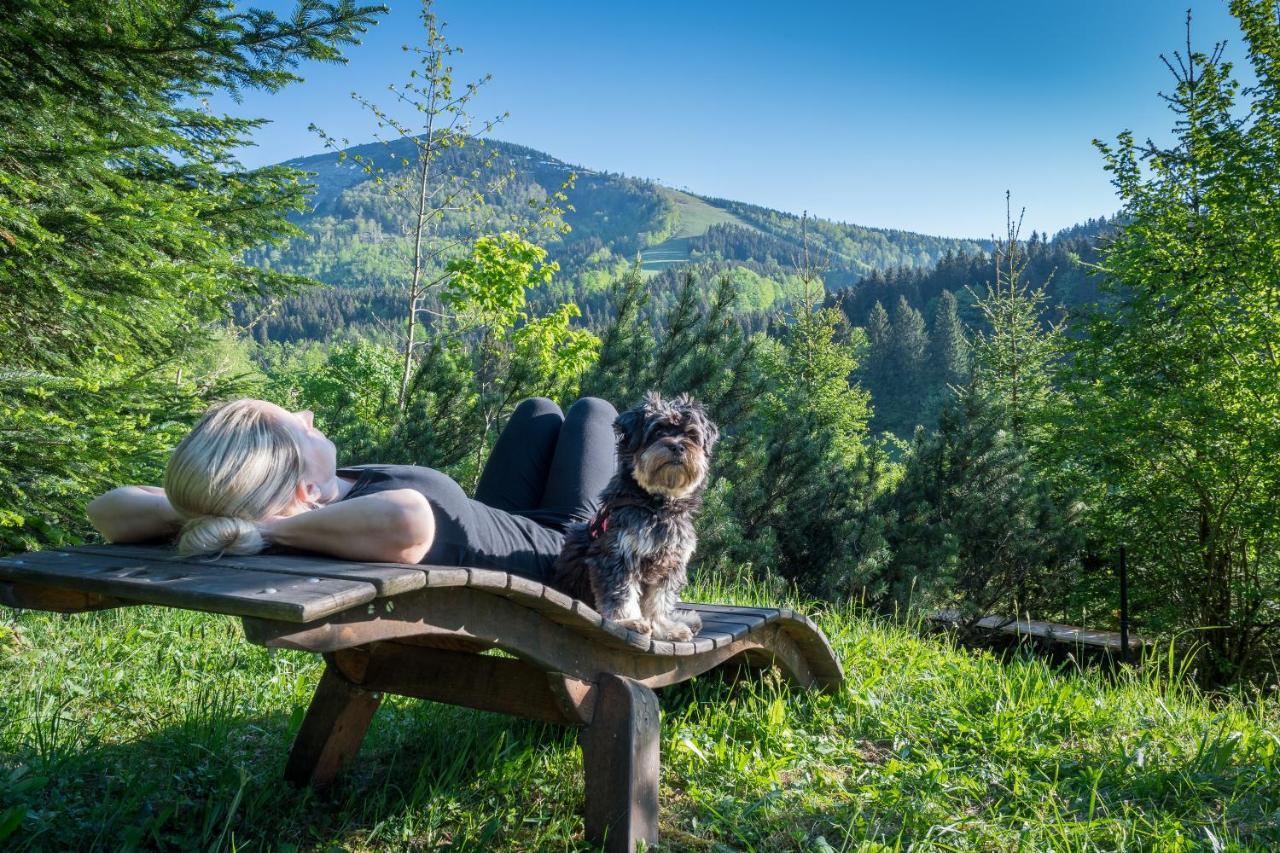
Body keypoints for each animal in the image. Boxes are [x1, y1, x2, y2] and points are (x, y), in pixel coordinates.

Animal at [555, 391, 721, 637]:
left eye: (691, 435)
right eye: (658, 431)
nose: (678, 447)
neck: (658, 506)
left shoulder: (670, 564)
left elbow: (659, 600)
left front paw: (664, 627)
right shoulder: (616, 555)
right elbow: (621, 594)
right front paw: (628, 621)